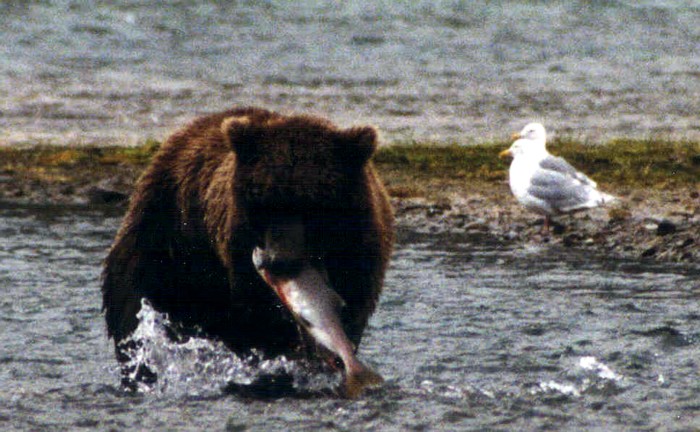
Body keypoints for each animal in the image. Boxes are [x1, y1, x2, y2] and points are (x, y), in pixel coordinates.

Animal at [100, 106, 394, 396]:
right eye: (263, 201)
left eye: (314, 205)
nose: (279, 260)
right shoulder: (238, 258)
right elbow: (264, 327)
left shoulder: (359, 256)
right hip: (164, 246)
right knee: (132, 314)